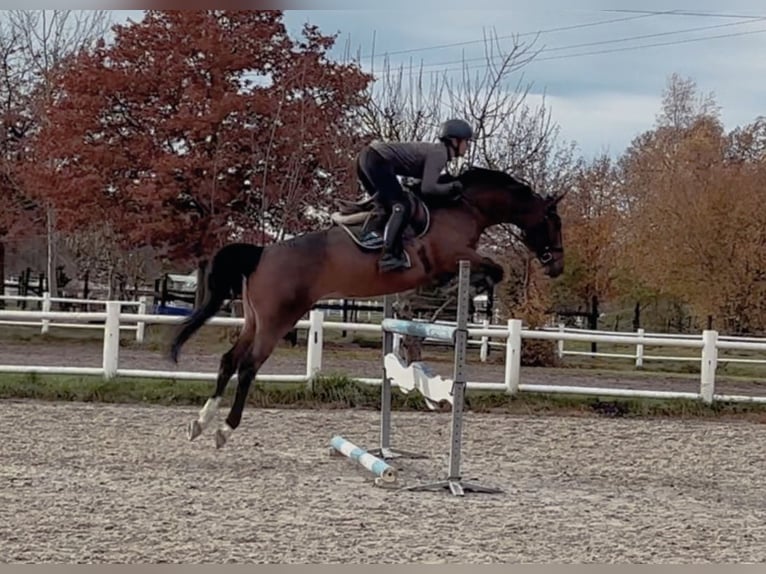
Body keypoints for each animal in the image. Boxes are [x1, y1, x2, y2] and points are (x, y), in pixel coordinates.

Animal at [168, 165, 566, 448]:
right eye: (553, 221)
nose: (557, 266)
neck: (465, 207)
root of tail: (261, 253)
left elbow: (490, 271)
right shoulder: (455, 255)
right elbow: (494, 269)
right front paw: (465, 288)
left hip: (255, 319)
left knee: (229, 361)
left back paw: (201, 422)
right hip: (278, 319)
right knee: (249, 366)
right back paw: (224, 429)